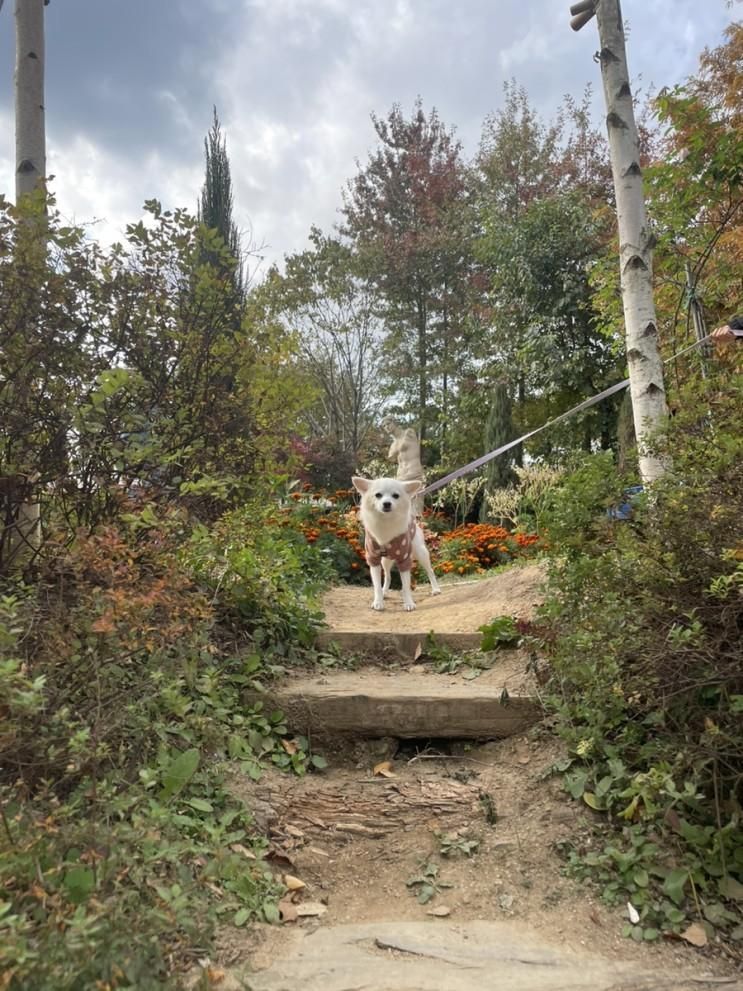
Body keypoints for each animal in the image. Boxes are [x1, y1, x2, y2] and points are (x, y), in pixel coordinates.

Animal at [350, 474, 438, 608]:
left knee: (430, 571)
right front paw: (378, 601)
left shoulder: (404, 559)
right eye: (378, 495)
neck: (386, 522)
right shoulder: (373, 559)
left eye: (396, 496)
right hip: (385, 561)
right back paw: (384, 592)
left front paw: (409, 603)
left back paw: (436, 589)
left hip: (421, 553)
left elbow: (406, 586)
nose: (387, 503)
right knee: (388, 576)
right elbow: (376, 585)